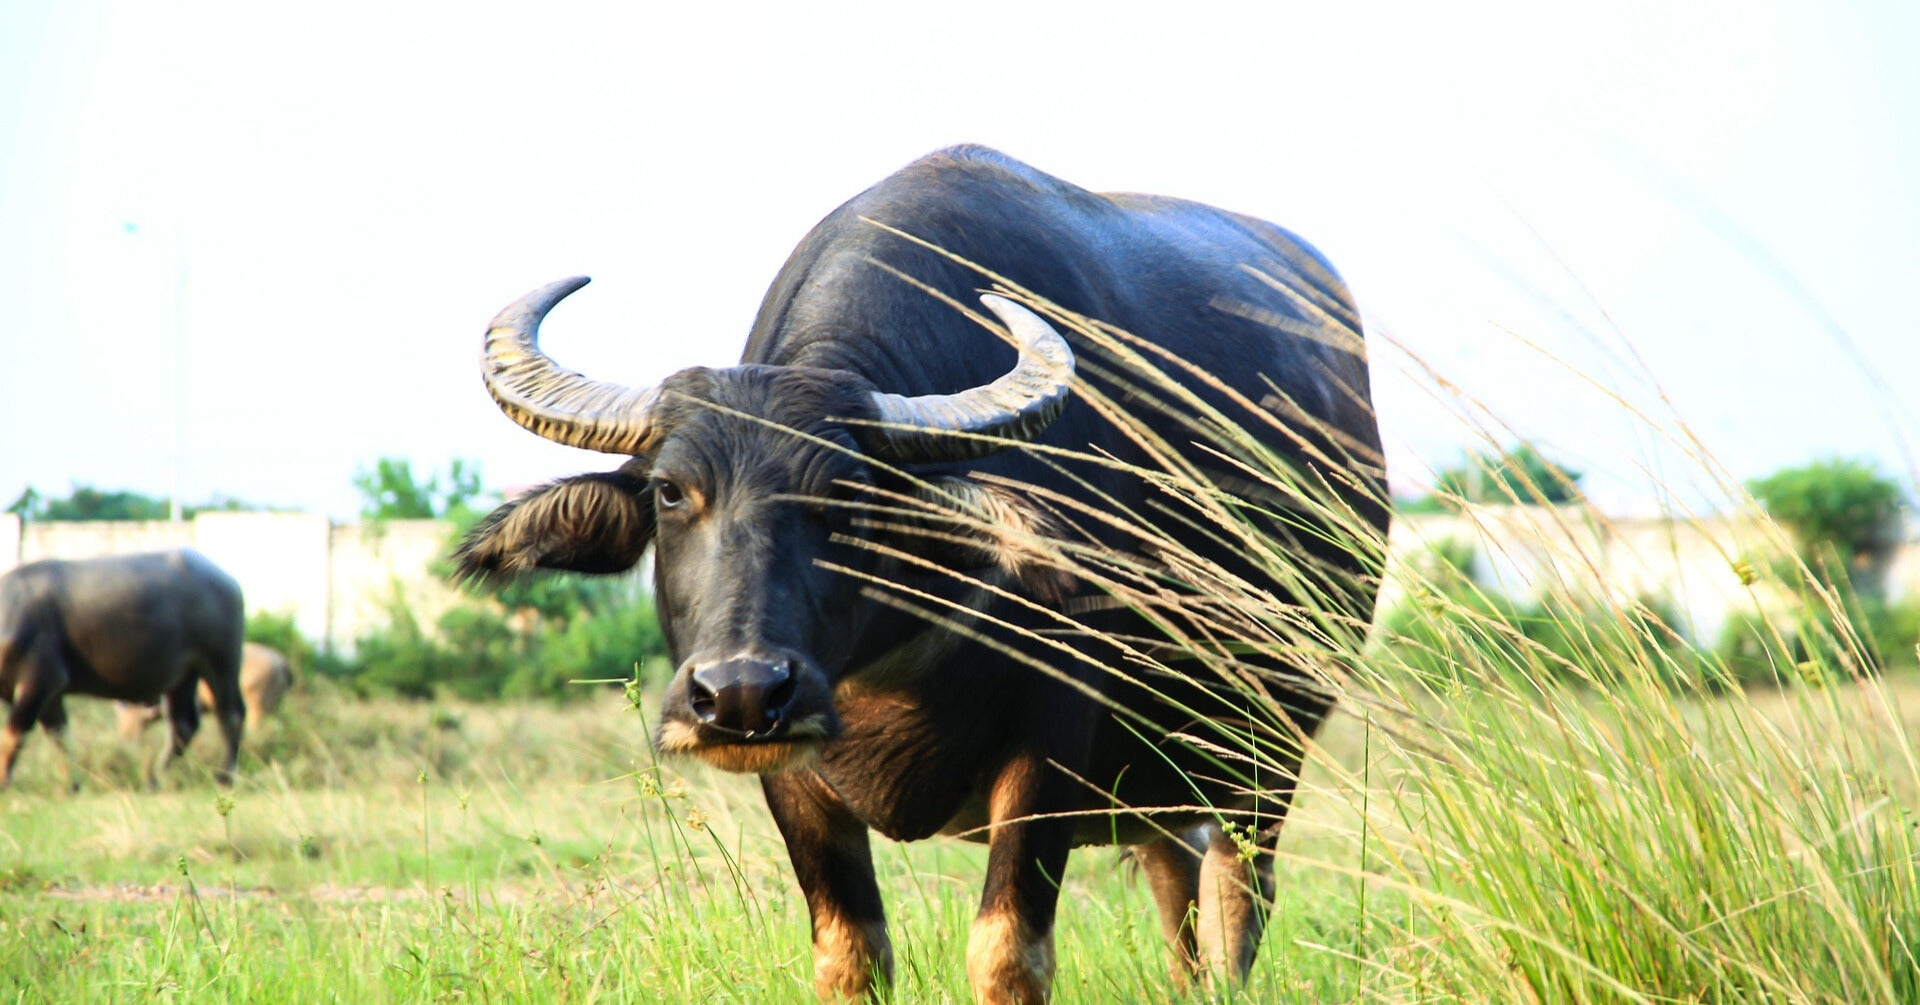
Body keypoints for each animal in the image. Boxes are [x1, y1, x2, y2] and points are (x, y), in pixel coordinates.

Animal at [0, 549, 246, 790]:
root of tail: (229, 581)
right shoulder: (52, 695)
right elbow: (60, 736)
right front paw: (72, 785)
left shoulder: (41, 680)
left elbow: (13, 735)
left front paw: (4, 782)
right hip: (184, 675)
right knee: (183, 724)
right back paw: (155, 778)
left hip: (221, 663)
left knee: (231, 715)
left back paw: (224, 778)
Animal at [456, 146, 1386, 1002]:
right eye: (669, 490)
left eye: (848, 489)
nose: (743, 693)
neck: (892, 656)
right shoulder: (796, 777)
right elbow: (851, 955)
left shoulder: (1049, 745)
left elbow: (1009, 954)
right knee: (1174, 882)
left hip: (1269, 734)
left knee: (1238, 892)